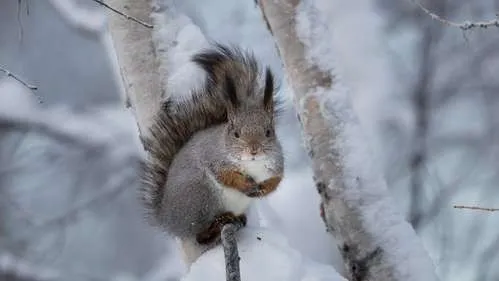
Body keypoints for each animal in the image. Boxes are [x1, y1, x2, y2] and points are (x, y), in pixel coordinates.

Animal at [139, 42, 286, 264]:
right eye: (235, 132)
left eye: (269, 132)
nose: (253, 149)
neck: (252, 164)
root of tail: (166, 217)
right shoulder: (213, 158)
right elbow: (226, 176)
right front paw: (245, 184)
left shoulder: (277, 164)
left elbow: (276, 181)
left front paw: (263, 189)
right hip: (201, 196)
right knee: (200, 235)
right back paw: (219, 223)